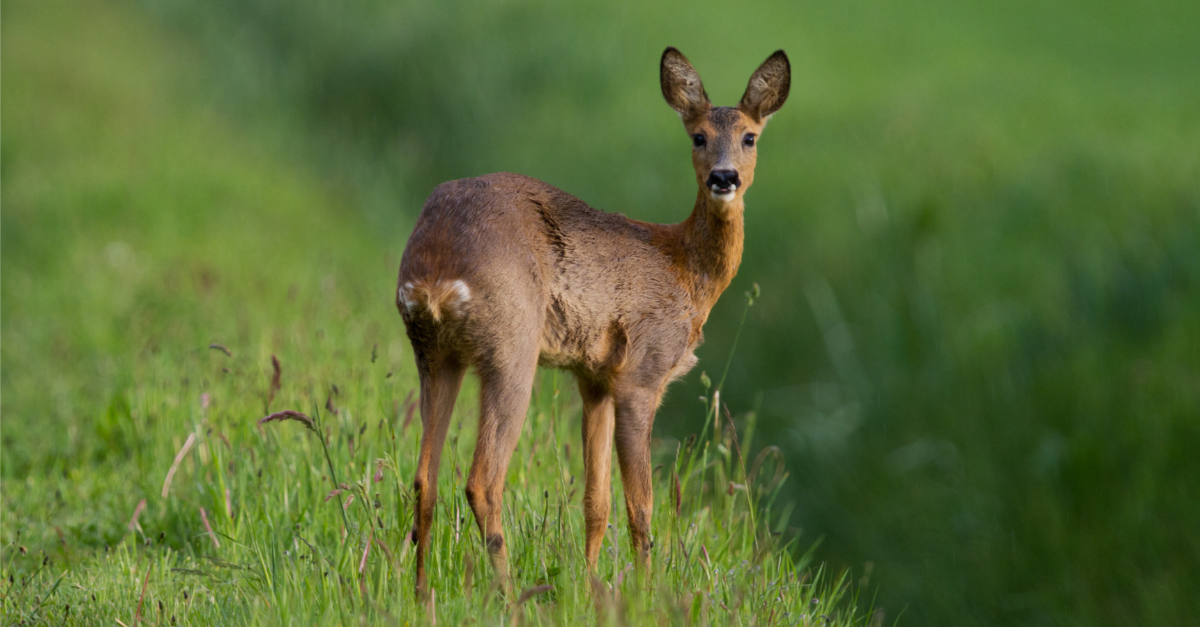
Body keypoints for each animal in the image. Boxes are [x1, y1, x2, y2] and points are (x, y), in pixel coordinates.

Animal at [396, 47, 789, 595]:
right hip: (510, 348)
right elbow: (641, 507)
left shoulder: (595, 378)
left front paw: (590, 585)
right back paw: (510, 595)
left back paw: (420, 593)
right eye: (698, 136)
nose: (724, 177)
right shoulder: (642, 373)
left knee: (423, 478)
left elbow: (596, 502)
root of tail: (434, 271)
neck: (685, 270)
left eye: (750, 136)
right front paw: (645, 595)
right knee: (482, 481)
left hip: (433, 353)